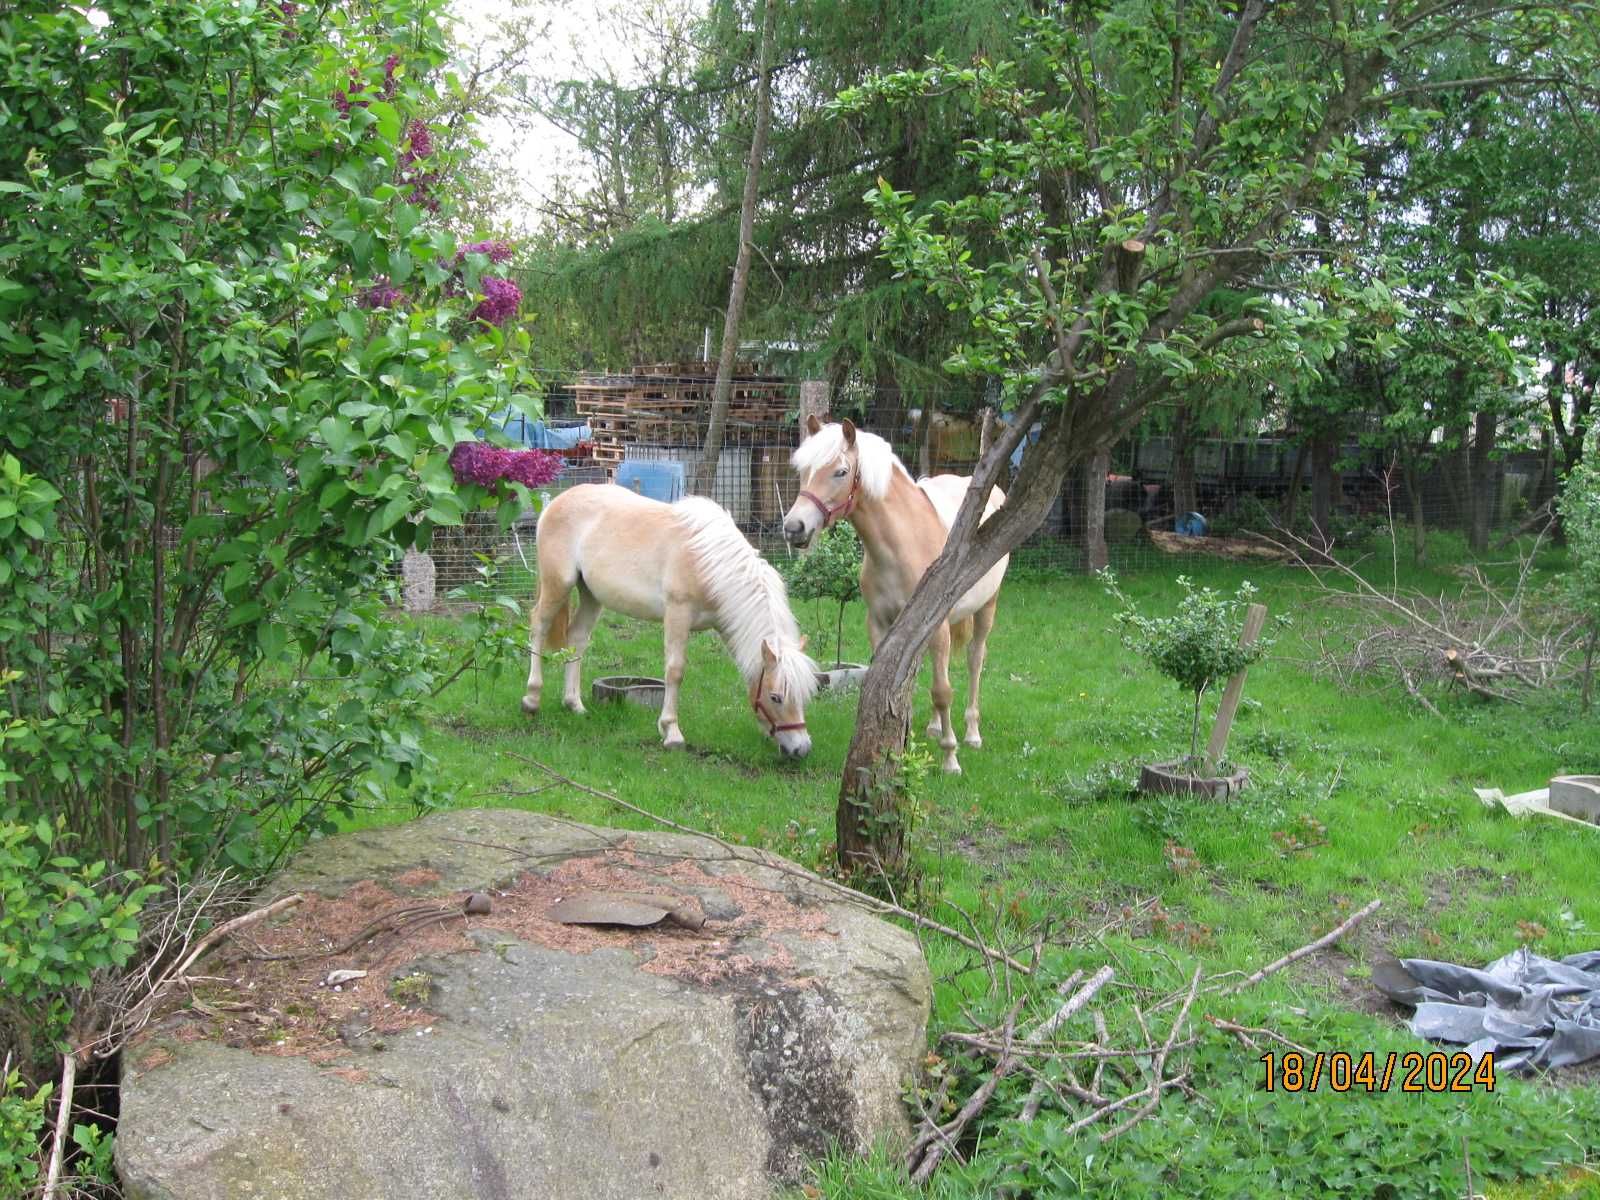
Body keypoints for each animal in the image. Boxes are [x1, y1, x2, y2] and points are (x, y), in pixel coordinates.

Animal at [524, 483, 819, 755]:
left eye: (805, 694)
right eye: (775, 697)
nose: (801, 749)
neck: (709, 565)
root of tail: (556, 502)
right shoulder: (678, 614)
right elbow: (675, 672)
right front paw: (671, 732)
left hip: (591, 595)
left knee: (577, 637)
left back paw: (574, 704)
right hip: (558, 585)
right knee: (538, 626)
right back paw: (531, 699)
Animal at [787, 422, 1011, 774]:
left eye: (840, 471)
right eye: (804, 470)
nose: (794, 527)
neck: (904, 541)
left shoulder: (938, 626)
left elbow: (942, 691)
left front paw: (950, 758)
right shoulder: (882, 624)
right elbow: (895, 686)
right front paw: (894, 751)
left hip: (986, 607)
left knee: (975, 659)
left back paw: (972, 733)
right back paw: (934, 726)